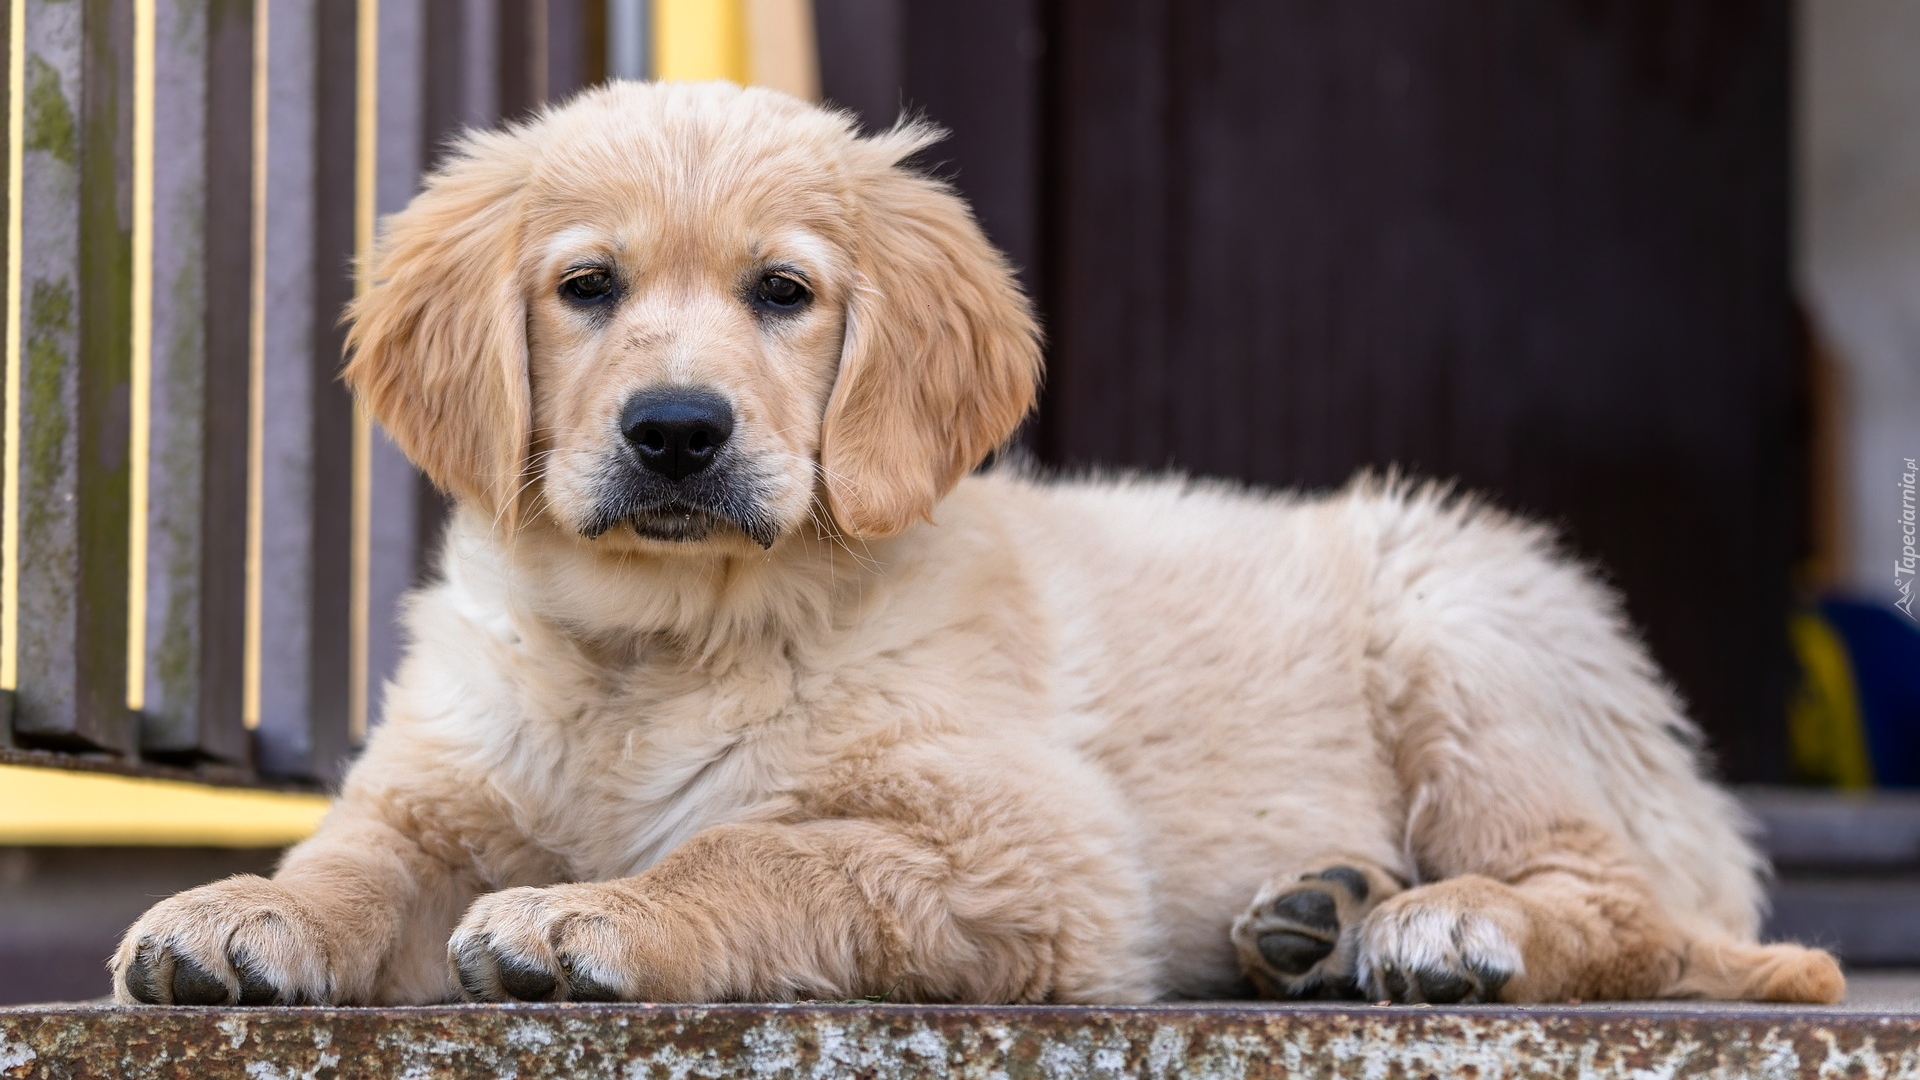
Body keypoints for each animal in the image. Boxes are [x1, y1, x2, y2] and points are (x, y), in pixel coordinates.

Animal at [108, 79, 1843, 1006]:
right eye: (586, 287)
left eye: (785, 294)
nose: (676, 430)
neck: (663, 637)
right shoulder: (438, 787)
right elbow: (354, 853)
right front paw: (240, 914)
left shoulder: (1034, 853)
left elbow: (763, 846)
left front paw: (594, 912)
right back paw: (1314, 917)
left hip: (1464, 626)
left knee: (1641, 914)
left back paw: (1434, 926)